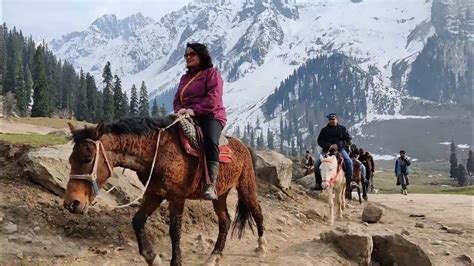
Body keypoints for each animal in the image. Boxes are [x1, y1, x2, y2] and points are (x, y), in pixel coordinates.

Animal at [62, 117, 266, 266]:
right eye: (70, 159)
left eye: (88, 159)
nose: (72, 203)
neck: (157, 152)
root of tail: (244, 146)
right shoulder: (155, 194)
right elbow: (137, 221)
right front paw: (152, 257)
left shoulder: (176, 197)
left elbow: (175, 230)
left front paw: (176, 262)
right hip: (220, 194)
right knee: (225, 221)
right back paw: (214, 256)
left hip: (246, 187)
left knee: (257, 211)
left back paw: (261, 247)